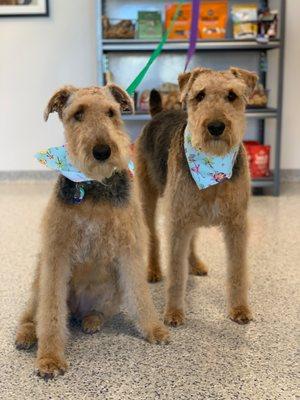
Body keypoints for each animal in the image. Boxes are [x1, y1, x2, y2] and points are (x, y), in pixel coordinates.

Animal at [15, 83, 169, 378]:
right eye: (78, 114)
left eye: (111, 112)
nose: (102, 151)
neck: (94, 185)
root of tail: (76, 311)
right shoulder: (57, 252)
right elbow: (51, 315)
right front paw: (49, 359)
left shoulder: (130, 248)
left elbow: (141, 296)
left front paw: (155, 329)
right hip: (40, 278)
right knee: (33, 315)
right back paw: (26, 335)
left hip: (113, 288)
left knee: (99, 310)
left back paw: (92, 321)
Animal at [136, 67, 258, 326]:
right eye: (200, 95)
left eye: (232, 95)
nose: (216, 127)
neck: (213, 165)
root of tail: (159, 113)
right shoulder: (177, 221)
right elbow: (175, 273)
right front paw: (173, 313)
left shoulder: (237, 223)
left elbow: (237, 269)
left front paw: (240, 309)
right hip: (149, 198)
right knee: (153, 236)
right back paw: (153, 271)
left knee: (190, 241)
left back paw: (195, 264)